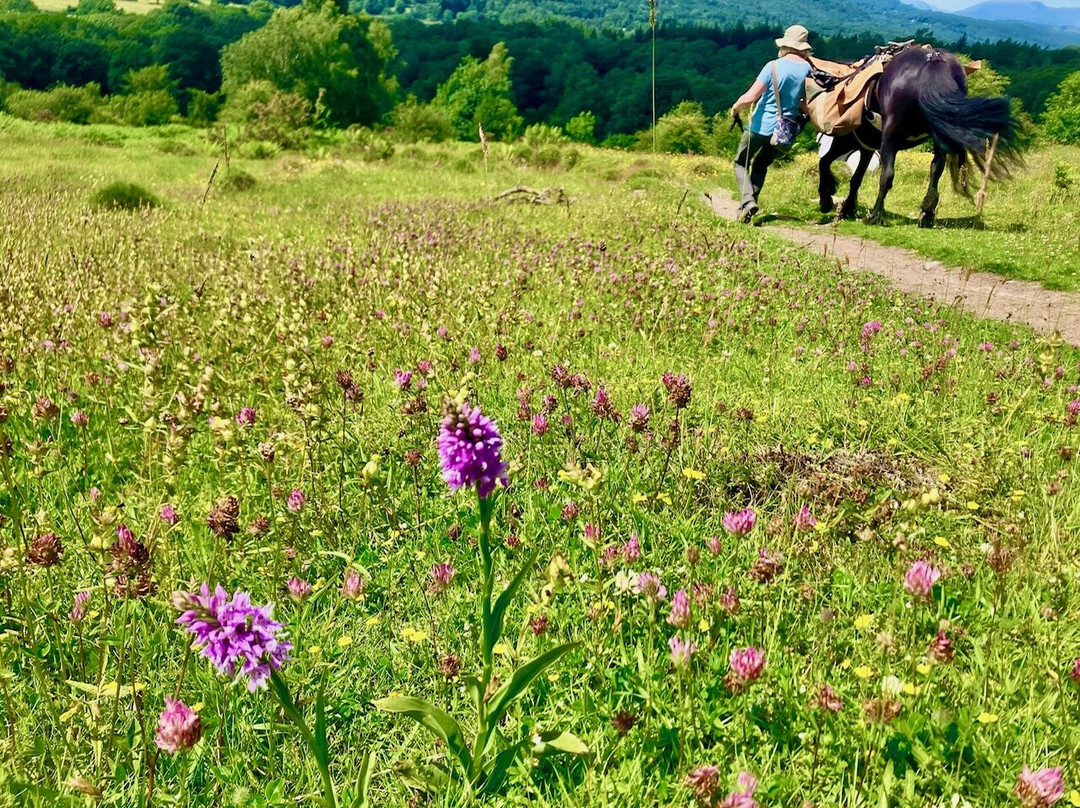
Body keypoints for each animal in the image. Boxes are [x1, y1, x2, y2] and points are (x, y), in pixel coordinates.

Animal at [816, 45, 1021, 228]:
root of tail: (934, 59)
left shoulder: (851, 142)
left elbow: (826, 163)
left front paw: (828, 199)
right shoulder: (866, 147)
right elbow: (855, 178)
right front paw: (847, 207)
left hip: (889, 137)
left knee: (887, 175)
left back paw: (874, 215)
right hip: (938, 136)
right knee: (936, 169)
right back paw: (927, 212)